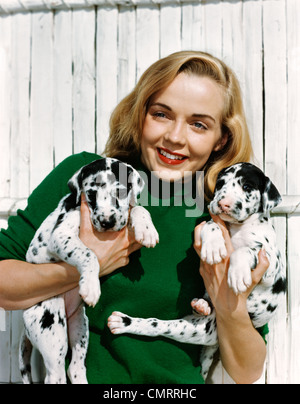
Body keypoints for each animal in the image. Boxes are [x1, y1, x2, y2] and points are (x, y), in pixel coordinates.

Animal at [18, 158, 159, 386]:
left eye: (120, 192)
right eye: (91, 194)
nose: (107, 221)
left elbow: (138, 209)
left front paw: (146, 229)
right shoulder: (61, 236)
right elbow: (88, 253)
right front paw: (91, 287)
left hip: (80, 328)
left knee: (75, 368)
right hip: (51, 330)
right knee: (56, 374)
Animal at [108, 163, 286, 380]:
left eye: (247, 187)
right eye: (220, 183)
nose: (223, 203)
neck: (238, 229)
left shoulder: (270, 264)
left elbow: (245, 250)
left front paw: (237, 274)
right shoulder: (212, 224)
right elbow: (210, 224)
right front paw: (213, 246)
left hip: (200, 329)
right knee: (155, 324)